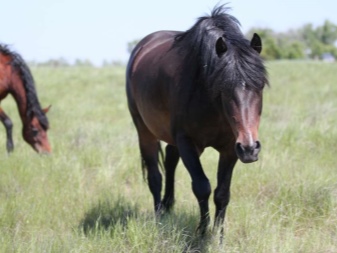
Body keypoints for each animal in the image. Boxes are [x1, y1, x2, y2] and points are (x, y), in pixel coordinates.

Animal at [125, 5, 268, 234]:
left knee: (170, 159)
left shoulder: (230, 147)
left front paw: (218, 235)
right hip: (144, 131)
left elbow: (222, 193)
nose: (250, 149)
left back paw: (168, 206)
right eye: (223, 87)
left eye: (260, 85)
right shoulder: (188, 142)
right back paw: (159, 216)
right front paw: (201, 233)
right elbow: (202, 187)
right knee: (155, 176)